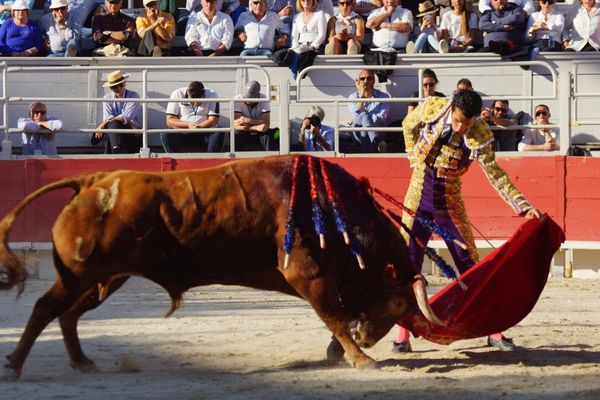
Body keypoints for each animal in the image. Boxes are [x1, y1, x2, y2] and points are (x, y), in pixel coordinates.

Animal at [0, 155, 440, 380]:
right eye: (397, 304)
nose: (369, 338)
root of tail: (93, 179)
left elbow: (338, 317)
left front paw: (343, 350)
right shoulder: (306, 274)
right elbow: (333, 314)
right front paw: (360, 358)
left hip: (104, 278)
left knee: (68, 314)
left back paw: (81, 362)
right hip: (81, 275)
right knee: (45, 308)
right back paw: (16, 367)